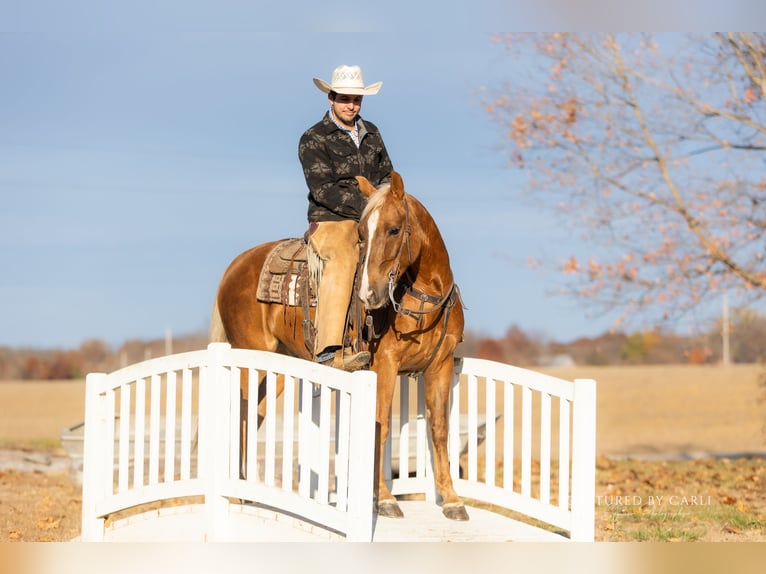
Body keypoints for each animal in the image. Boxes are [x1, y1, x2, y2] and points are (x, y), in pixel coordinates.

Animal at [209, 171, 468, 521]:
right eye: (361, 233)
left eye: (394, 229)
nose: (369, 294)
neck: (422, 297)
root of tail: (234, 266)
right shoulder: (384, 365)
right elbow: (380, 426)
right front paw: (384, 500)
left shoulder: (440, 365)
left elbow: (439, 430)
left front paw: (453, 500)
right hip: (251, 358)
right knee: (241, 414)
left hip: (274, 366)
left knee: (253, 415)